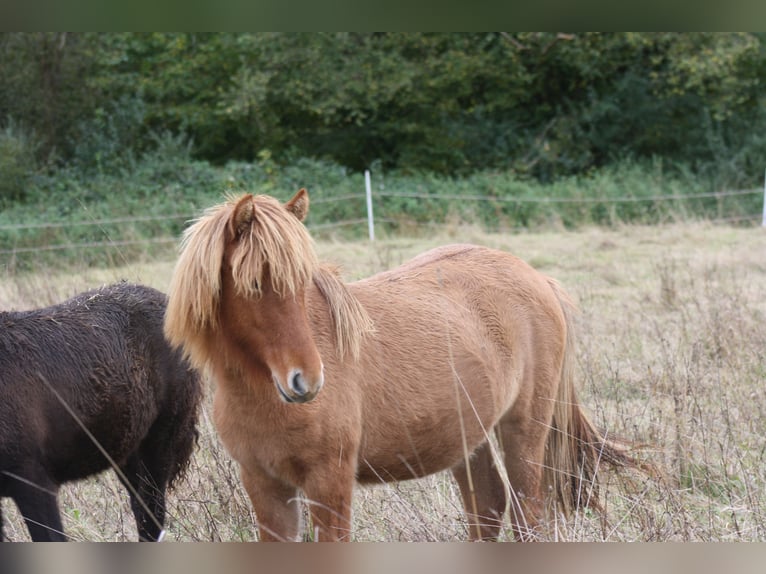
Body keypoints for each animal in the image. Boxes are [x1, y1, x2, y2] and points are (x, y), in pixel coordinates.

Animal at [165, 190, 640, 544]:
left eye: (303, 285)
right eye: (253, 284)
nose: (307, 381)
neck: (259, 393)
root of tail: (538, 278)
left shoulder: (329, 481)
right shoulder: (265, 485)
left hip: (524, 429)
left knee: (528, 515)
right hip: (470, 436)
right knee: (488, 507)